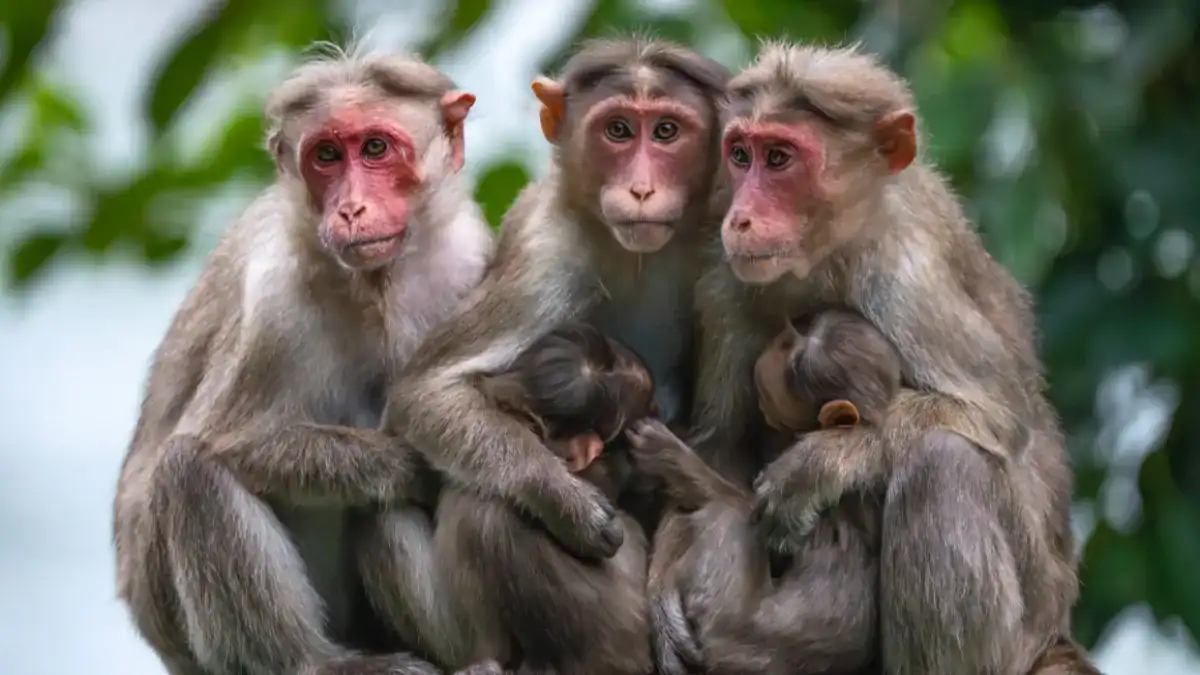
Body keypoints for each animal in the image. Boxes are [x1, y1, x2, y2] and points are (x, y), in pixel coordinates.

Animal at [112, 46, 496, 675]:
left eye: (375, 148)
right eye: (326, 156)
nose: (350, 209)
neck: (375, 284)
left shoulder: (467, 262)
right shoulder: (275, 298)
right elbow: (229, 438)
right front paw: (406, 463)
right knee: (188, 468)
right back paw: (318, 662)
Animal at [382, 37, 731, 571]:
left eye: (667, 131)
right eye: (618, 130)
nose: (641, 189)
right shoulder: (545, 251)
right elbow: (424, 393)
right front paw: (566, 502)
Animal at [647, 42, 1081, 675]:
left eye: (779, 158)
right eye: (740, 154)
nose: (740, 216)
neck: (827, 253)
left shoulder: (905, 275)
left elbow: (998, 418)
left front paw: (822, 463)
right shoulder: (725, 280)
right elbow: (720, 445)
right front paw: (663, 579)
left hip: (1025, 620)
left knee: (942, 464)